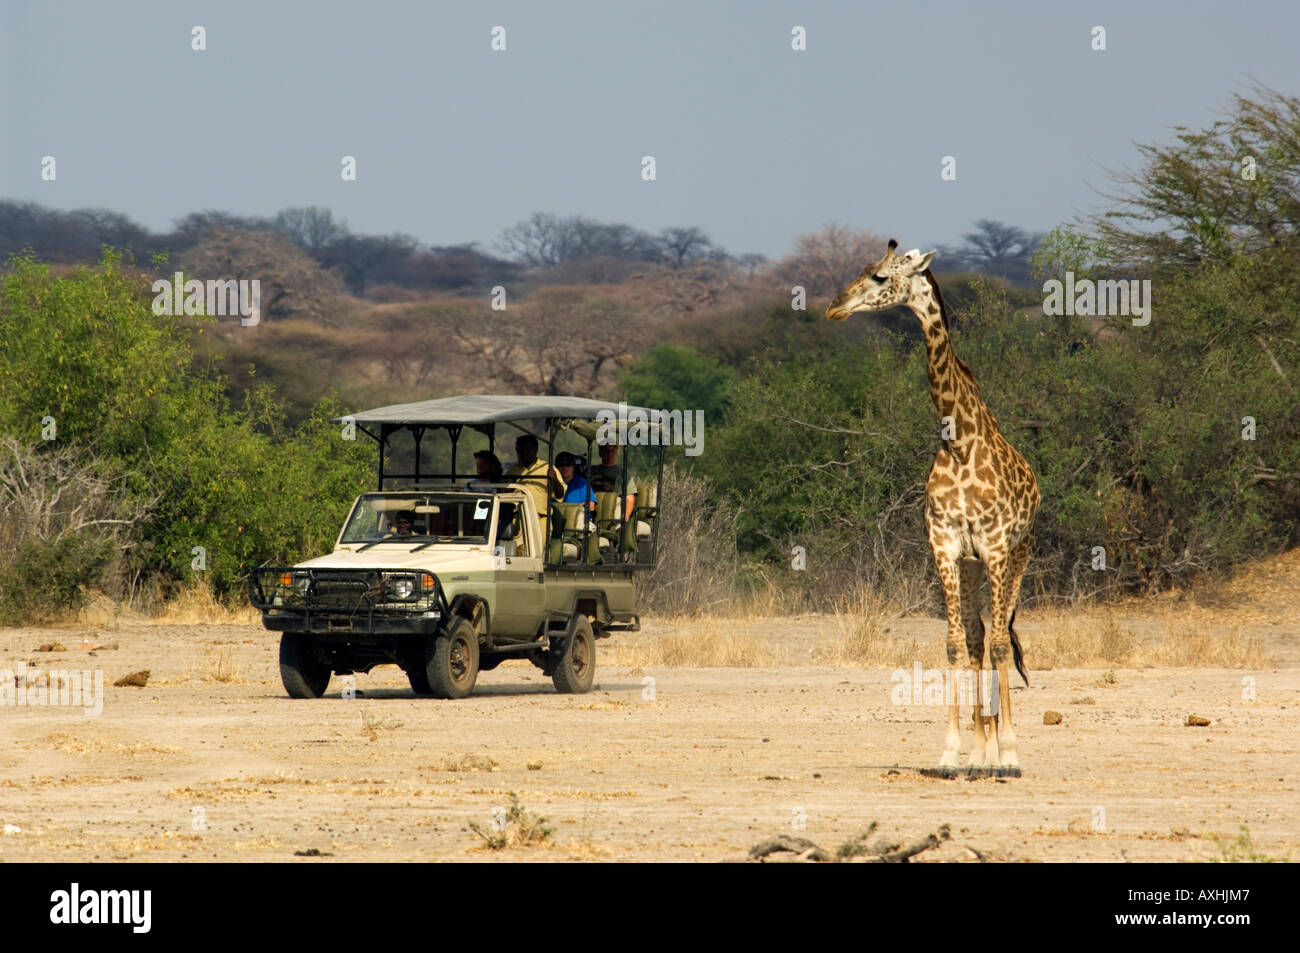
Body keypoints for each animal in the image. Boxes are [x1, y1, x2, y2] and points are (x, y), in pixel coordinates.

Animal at [826, 239, 1040, 774]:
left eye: (880, 277)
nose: (835, 306)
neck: (958, 442)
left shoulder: (996, 547)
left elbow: (1000, 645)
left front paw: (1009, 752)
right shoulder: (944, 545)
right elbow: (954, 645)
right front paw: (952, 753)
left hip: (1019, 555)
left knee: (999, 635)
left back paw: (1000, 751)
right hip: (971, 565)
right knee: (979, 636)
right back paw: (981, 753)